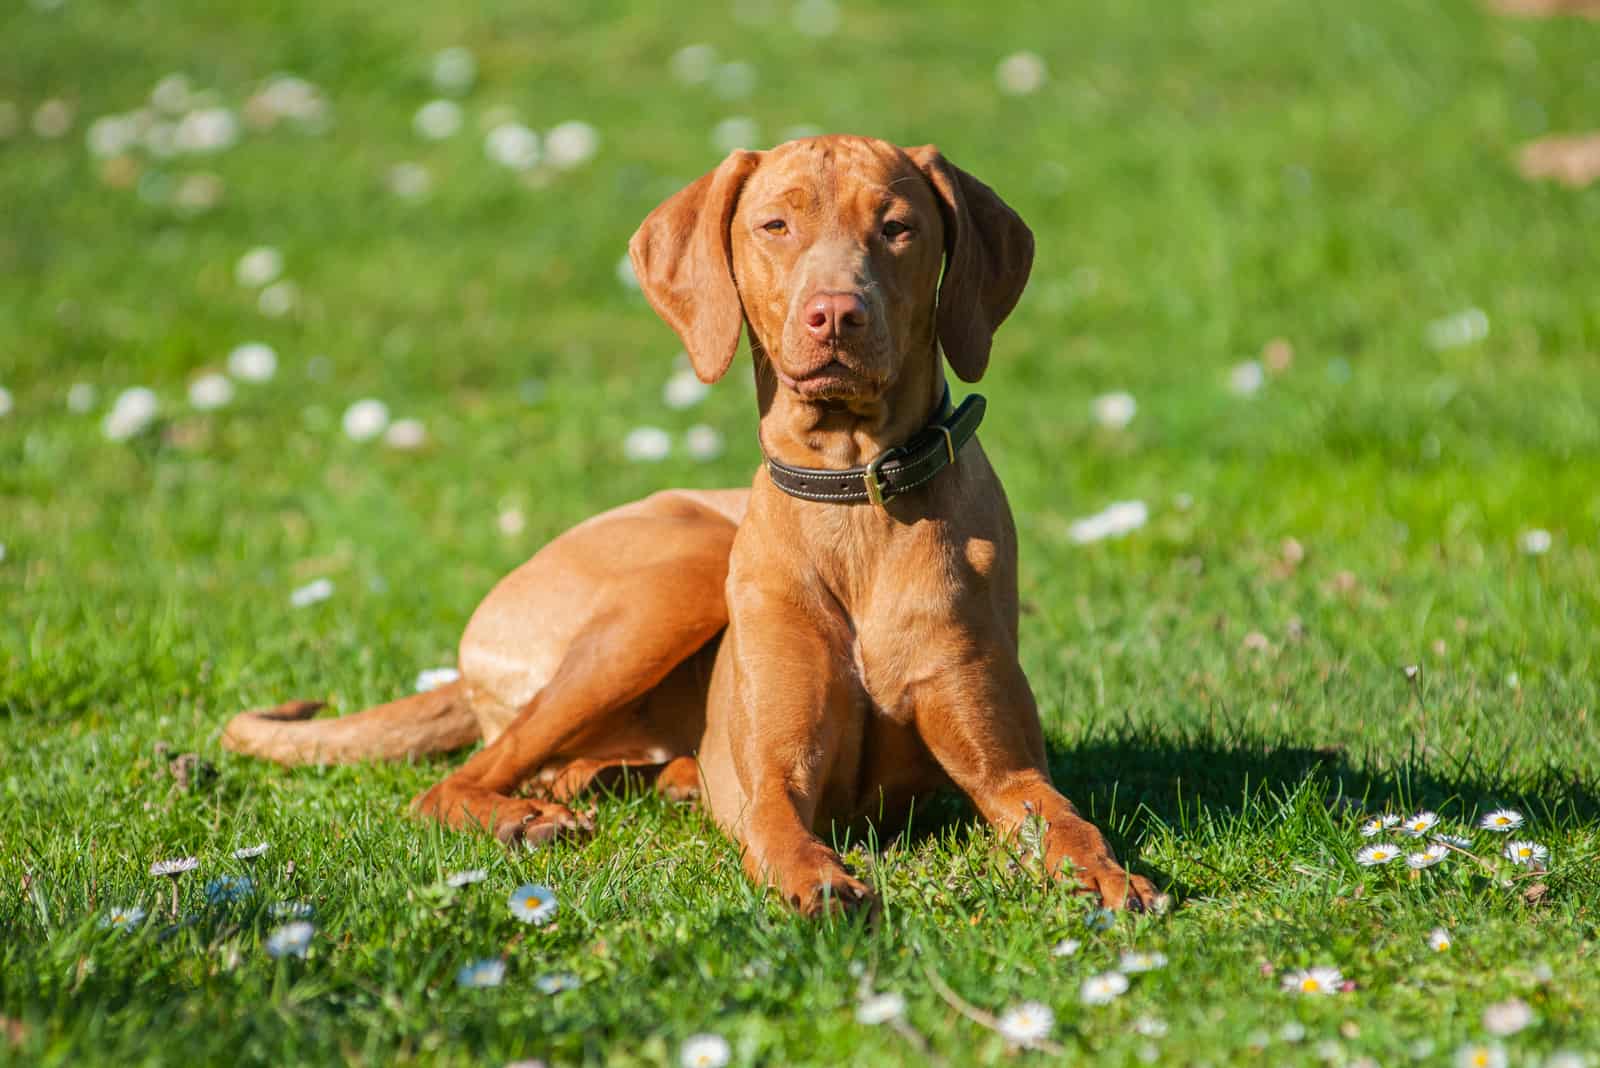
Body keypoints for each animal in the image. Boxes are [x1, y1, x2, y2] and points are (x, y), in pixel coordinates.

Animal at [222, 133, 1164, 914]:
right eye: (776, 225)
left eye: (898, 228)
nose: (836, 313)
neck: (851, 495)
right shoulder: (774, 774)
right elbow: (778, 826)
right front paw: (819, 880)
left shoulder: (1006, 770)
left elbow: (1066, 818)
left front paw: (1107, 874)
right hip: (674, 584)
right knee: (456, 780)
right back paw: (525, 817)